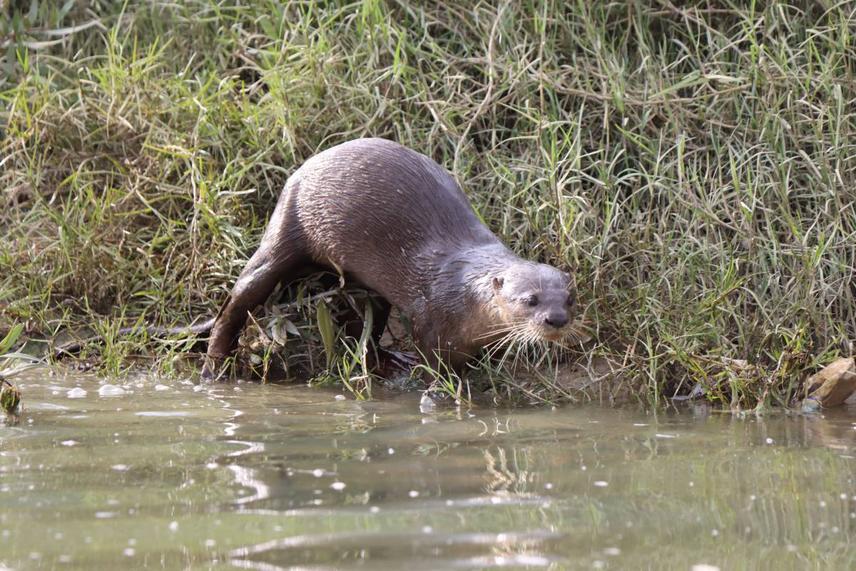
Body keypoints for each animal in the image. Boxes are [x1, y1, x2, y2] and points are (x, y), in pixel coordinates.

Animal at [205, 138, 576, 379]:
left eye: (570, 300)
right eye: (530, 299)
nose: (557, 319)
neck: (465, 290)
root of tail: (294, 177)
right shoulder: (432, 319)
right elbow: (437, 364)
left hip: (362, 286)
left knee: (359, 330)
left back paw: (387, 360)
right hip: (286, 232)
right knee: (237, 302)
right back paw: (214, 368)